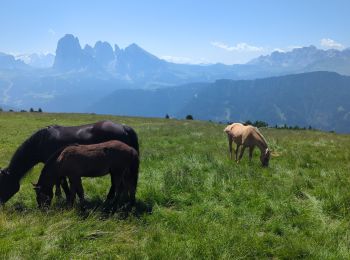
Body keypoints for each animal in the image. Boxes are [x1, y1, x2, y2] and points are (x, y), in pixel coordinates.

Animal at [0, 120, 139, 205]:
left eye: (4, 183)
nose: (0, 203)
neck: (42, 141)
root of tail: (124, 127)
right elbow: (60, 183)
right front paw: (61, 197)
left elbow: (63, 183)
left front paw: (67, 199)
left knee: (117, 184)